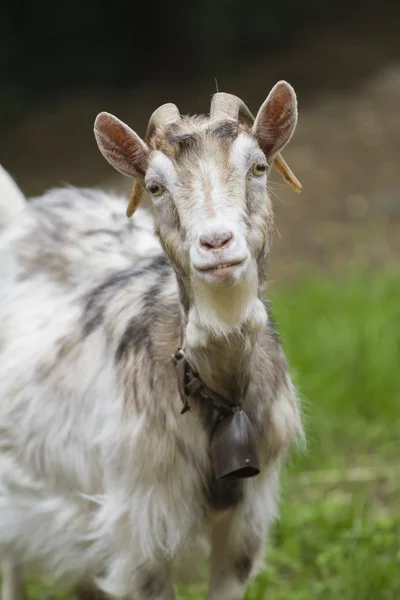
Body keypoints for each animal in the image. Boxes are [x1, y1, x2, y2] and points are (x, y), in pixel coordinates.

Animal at [0, 81, 304, 600]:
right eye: (156, 186)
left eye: (258, 166)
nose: (217, 244)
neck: (221, 397)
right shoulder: (140, 535)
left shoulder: (245, 526)